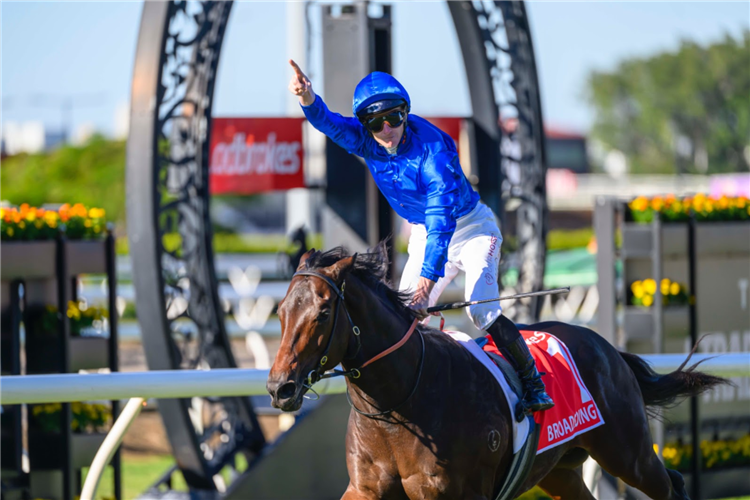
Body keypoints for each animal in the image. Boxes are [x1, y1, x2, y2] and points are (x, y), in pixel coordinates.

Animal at [268, 247, 728, 500]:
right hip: (561, 471)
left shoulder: (463, 492)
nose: (279, 387)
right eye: (281, 310)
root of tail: (606, 347)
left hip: (628, 454)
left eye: (323, 312)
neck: (401, 402)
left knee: (671, 484)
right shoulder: (364, 488)